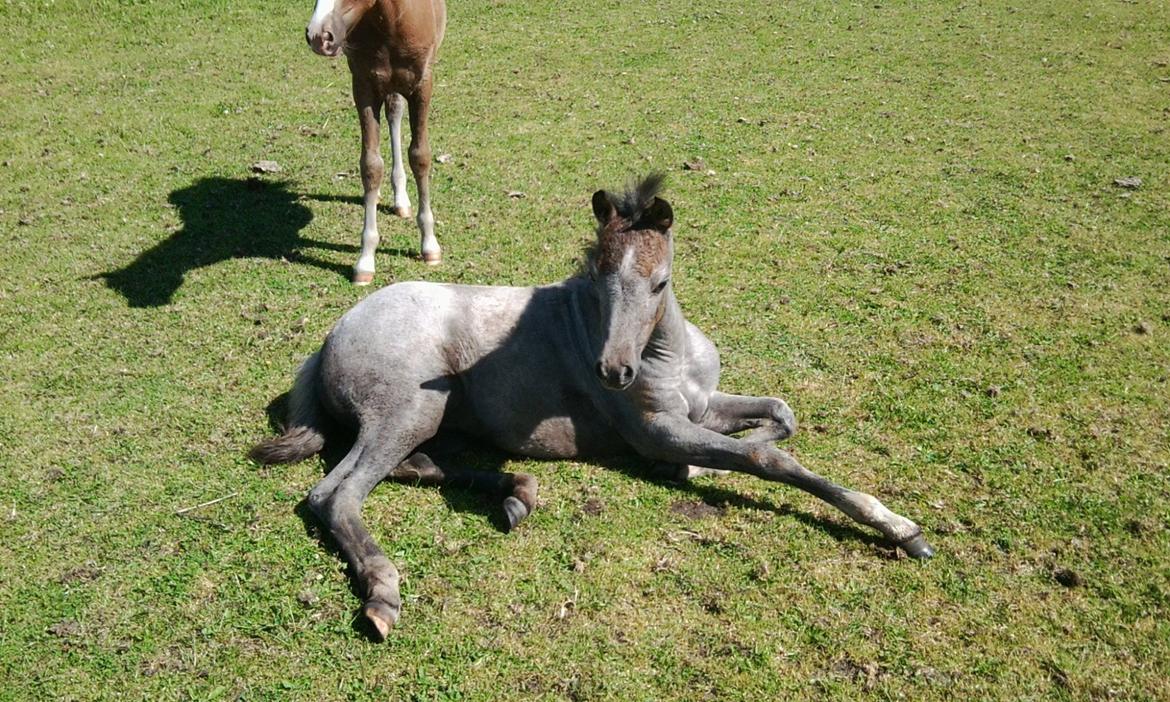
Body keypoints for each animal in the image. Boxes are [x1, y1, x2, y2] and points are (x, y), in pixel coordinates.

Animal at [251, 175, 935, 639]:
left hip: (428, 420)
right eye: (598, 282)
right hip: (406, 410)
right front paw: (901, 527)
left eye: (659, 283)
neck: (668, 352)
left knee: (411, 467)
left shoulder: (703, 407)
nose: (613, 371)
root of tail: (329, 336)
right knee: (337, 493)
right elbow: (770, 461)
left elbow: (780, 416)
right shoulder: (660, 431)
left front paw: (721, 454)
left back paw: (516, 492)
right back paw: (384, 593)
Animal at [305, 0, 447, 283]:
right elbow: (371, 165)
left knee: (395, 113)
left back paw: (401, 200)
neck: (390, 24)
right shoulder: (363, 85)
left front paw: (429, 245)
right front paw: (365, 260)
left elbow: (420, 157)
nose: (318, 36)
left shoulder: (423, 84)